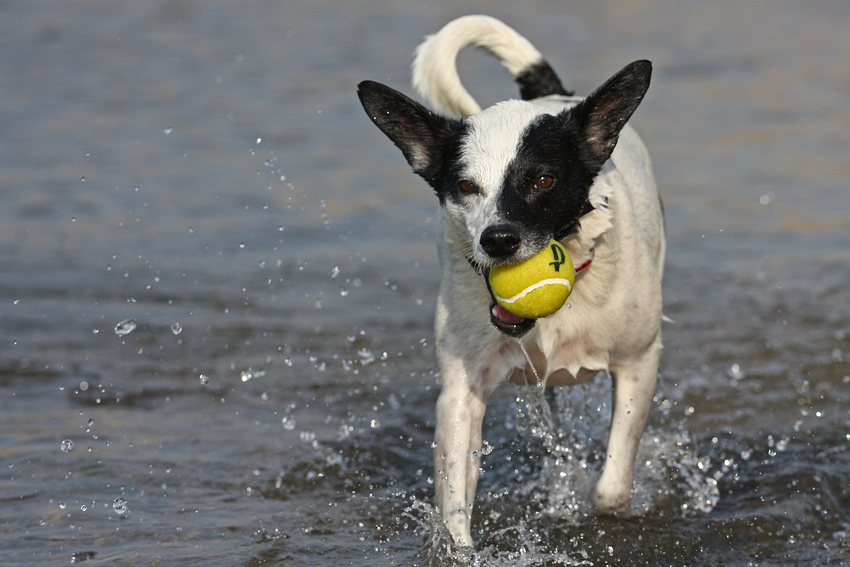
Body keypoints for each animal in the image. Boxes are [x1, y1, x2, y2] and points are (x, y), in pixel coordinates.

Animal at [354, 15, 660, 548]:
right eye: (465, 185)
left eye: (543, 180)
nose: (498, 240)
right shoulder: (461, 391)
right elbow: (454, 507)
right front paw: (460, 546)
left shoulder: (639, 362)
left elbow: (612, 486)